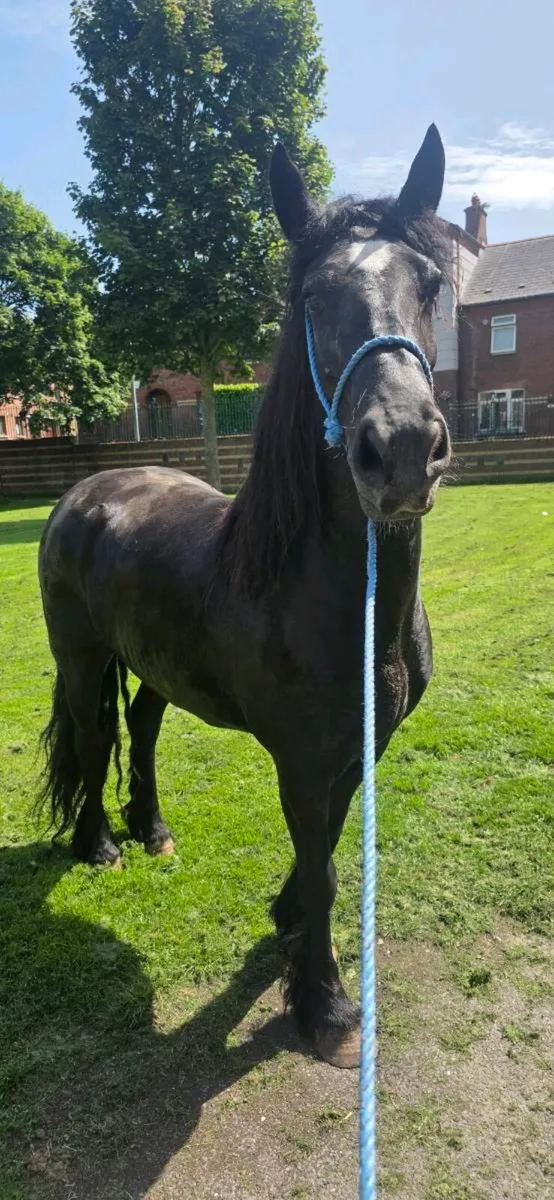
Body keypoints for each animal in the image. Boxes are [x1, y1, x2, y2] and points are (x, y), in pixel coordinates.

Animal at [38, 125, 451, 1069]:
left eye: (432, 286)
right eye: (310, 296)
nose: (403, 450)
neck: (337, 600)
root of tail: (85, 494)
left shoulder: (359, 749)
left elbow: (324, 848)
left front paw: (289, 927)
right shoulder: (300, 757)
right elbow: (328, 865)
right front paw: (325, 1006)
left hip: (153, 664)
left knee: (143, 728)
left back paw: (152, 828)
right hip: (82, 659)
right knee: (94, 735)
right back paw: (103, 845)